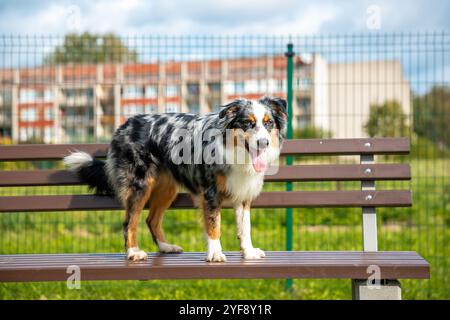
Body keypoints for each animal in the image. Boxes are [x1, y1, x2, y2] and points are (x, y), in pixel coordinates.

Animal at [64, 97, 284, 262]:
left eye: (268, 123)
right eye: (247, 123)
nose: (263, 143)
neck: (234, 149)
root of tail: (124, 125)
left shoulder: (242, 192)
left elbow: (245, 227)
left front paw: (249, 252)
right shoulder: (210, 193)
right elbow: (214, 225)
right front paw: (215, 253)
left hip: (167, 189)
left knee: (151, 219)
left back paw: (165, 247)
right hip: (140, 185)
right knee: (129, 222)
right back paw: (134, 252)